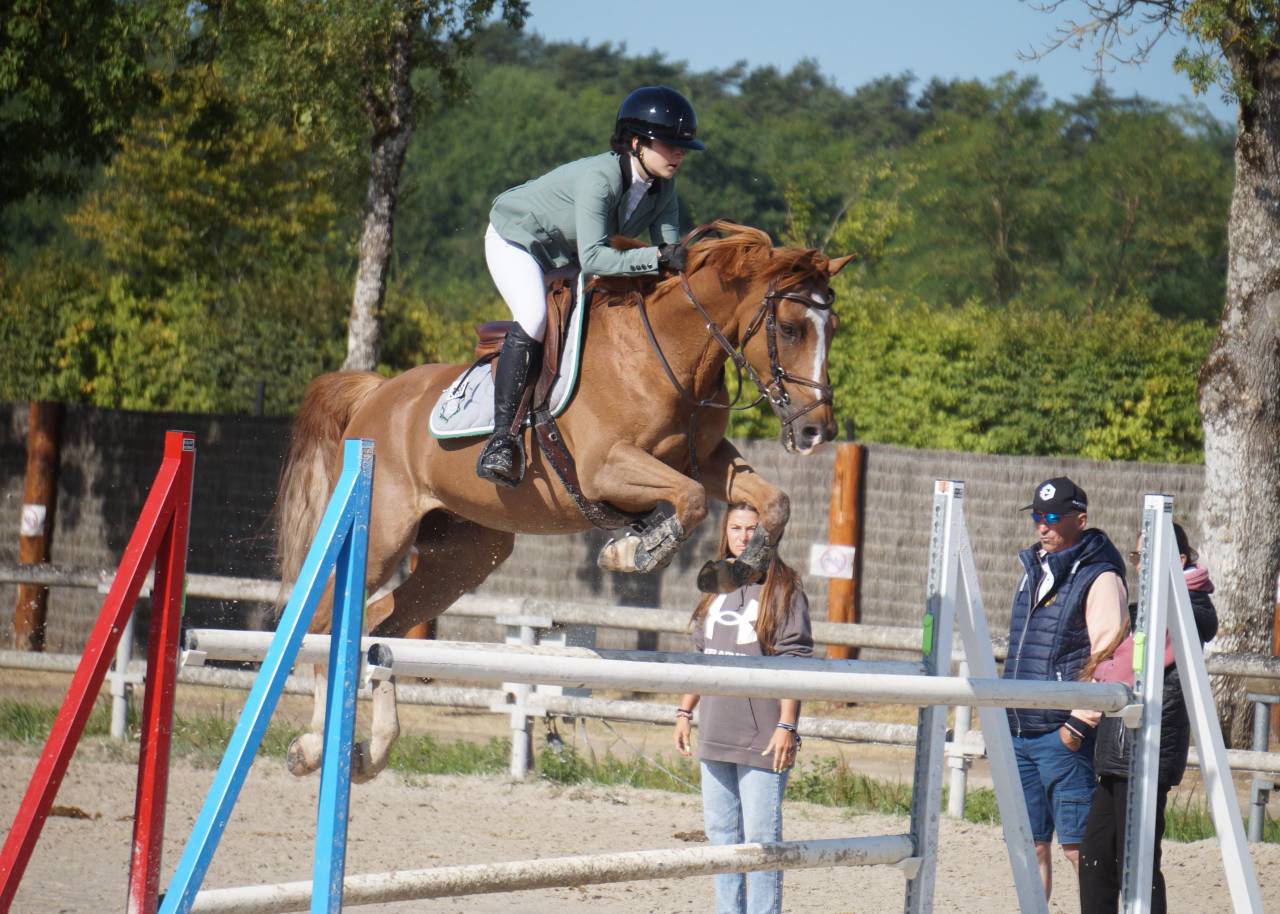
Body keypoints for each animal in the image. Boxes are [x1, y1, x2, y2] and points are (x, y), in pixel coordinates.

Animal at [274, 220, 853, 781]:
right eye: (790, 328)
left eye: (834, 329)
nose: (816, 432)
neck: (669, 355)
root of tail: (376, 393)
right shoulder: (605, 468)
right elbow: (688, 501)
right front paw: (632, 551)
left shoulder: (709, 461)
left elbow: (773, 501)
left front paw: (732, 570)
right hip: (382, 534)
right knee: (327, 625)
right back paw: (313, 748)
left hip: (461, 559)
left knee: (380, 629)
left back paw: (369, 754)